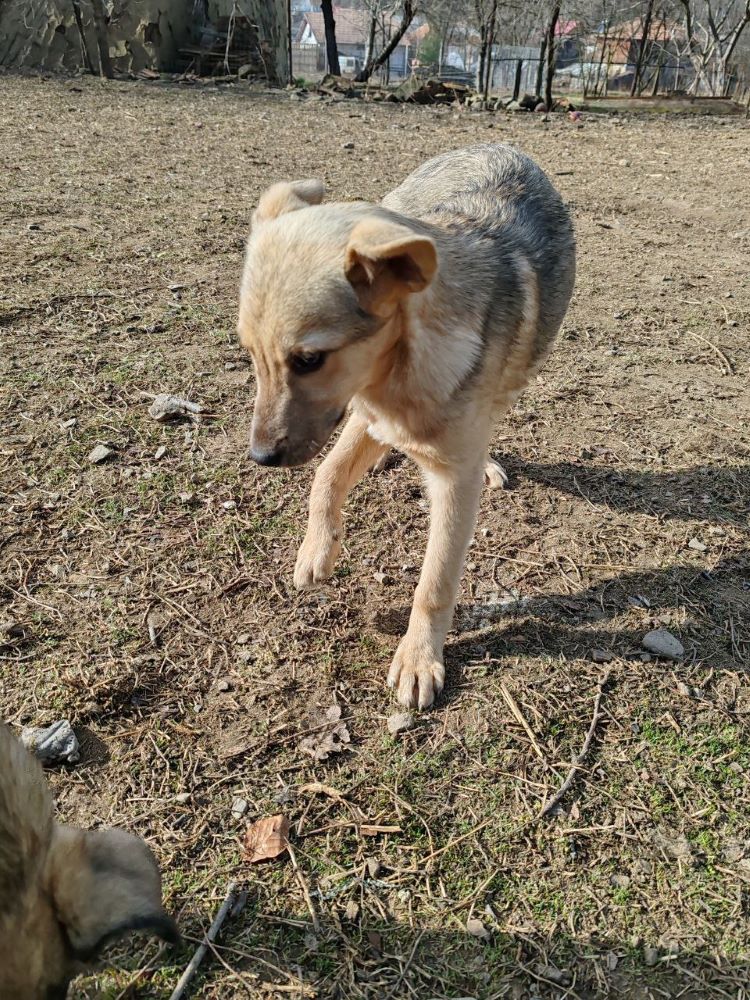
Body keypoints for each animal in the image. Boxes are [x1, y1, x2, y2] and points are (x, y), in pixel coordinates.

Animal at [241, 146, 576, 712]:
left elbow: (434, 583)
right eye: (248, 351)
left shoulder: (451, 482)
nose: (260, 457)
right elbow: (326, 476)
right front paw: (317, 550)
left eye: (309, 360)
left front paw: (419, 659)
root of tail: (500, 146)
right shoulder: (364, 415)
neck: (400, 368)